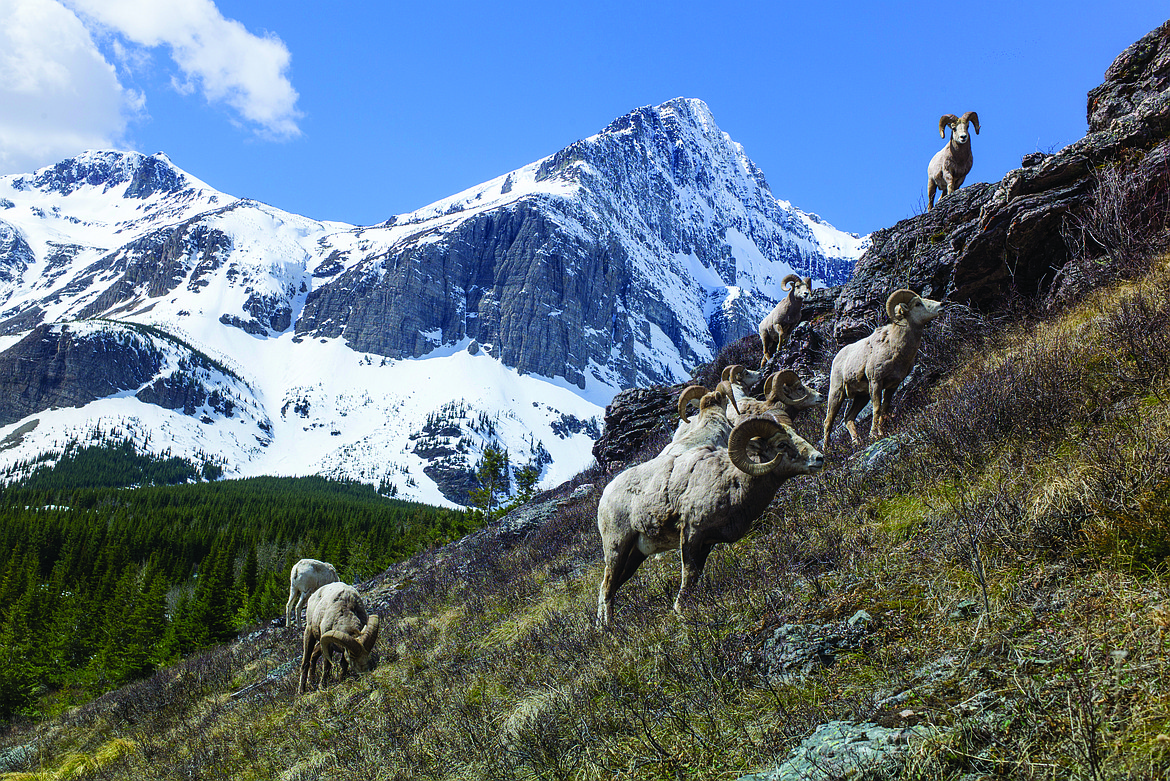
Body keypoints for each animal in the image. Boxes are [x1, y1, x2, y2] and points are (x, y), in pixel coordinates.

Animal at [819, 288, 945, 448]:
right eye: (917, 304)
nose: (941, 305)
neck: (894, 348)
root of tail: (836, 359)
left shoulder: (892, 386)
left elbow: (884, 409)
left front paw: (882, 432)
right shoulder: (876, 382)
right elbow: (877, 408)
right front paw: (874, 435)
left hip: (862, 397)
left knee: (848, 418)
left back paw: (857, 442)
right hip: (837, 393)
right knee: (828, 421)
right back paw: (827, 449)